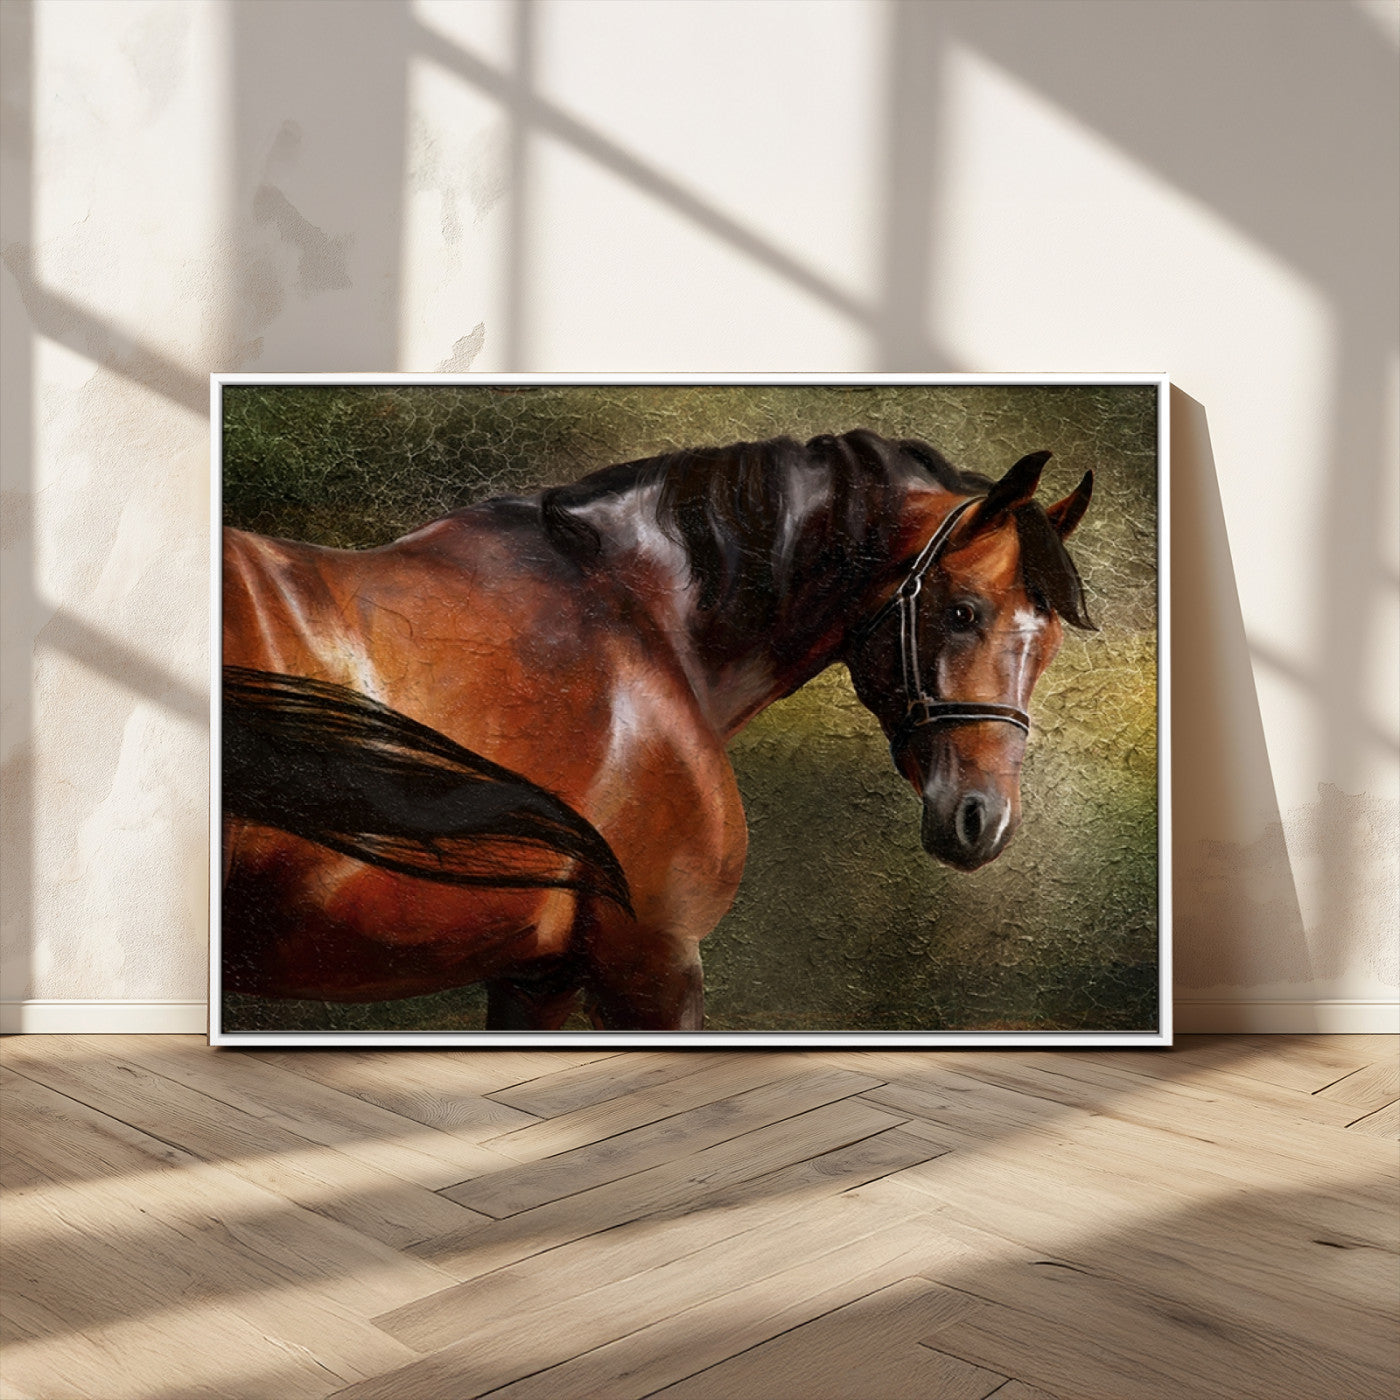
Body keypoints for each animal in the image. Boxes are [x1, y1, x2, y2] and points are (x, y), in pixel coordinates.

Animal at [220, 428, 1094, 1030]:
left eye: (1048, 642)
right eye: (963, 612)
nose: (984, 820)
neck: (636, 618)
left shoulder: (537, 974)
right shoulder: (650, 962)